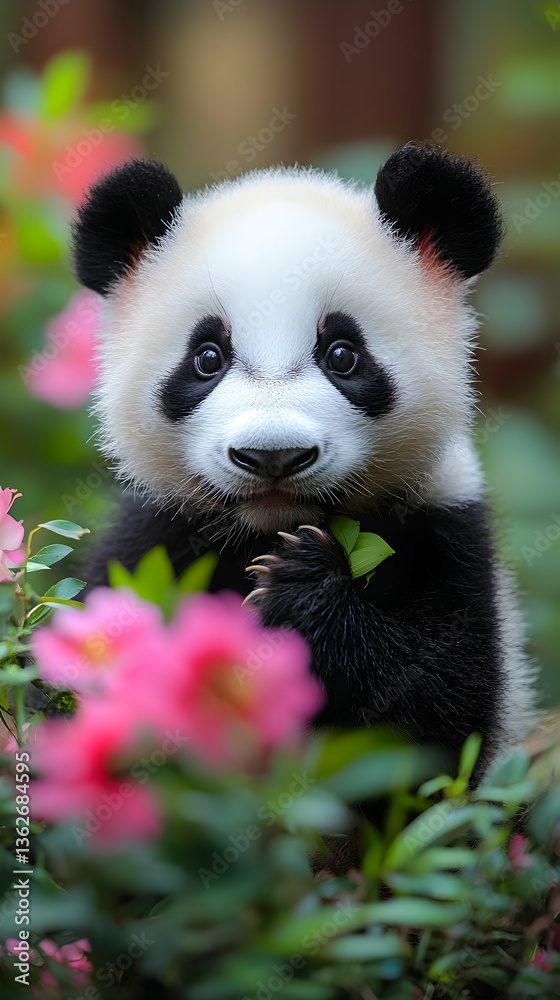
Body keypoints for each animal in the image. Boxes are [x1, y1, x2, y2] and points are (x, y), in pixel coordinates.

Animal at [73, 143, 536, 775]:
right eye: (207, 358)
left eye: (342, 354)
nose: (273, 455)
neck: (268, 528)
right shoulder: (154, 540)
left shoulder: (447, 527)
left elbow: (434, 715)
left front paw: (301, 582)